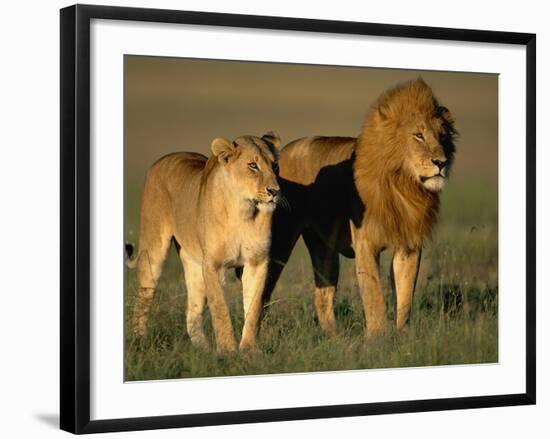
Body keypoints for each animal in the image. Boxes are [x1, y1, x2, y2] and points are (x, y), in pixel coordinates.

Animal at [128, 133, 282, 354]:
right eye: (253, 165)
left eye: (275, 165)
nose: (275, 191)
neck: (243, 210)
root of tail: (163, 159)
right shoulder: (213, 265)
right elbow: (220, 308)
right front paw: (227, 351)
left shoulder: (257, 262)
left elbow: (254, 309)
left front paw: (249, 350)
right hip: (153, 251)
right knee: (143, 297)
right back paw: (139, 341)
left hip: (193, 264)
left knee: (191, 313)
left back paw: (204, 350)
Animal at [266, 79, 460, 338]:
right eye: (418, 136)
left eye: (443, 136)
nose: (441, 162)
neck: (403, 185)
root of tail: (283, 152)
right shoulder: (365, 243)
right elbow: (374, 294)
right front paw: (378, 337)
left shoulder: (409, 244)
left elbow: (405, 295)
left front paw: (403, 336)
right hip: (280, 242)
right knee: (262, 290)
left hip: (323, 249)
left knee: (322, 294)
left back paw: (334, 338)